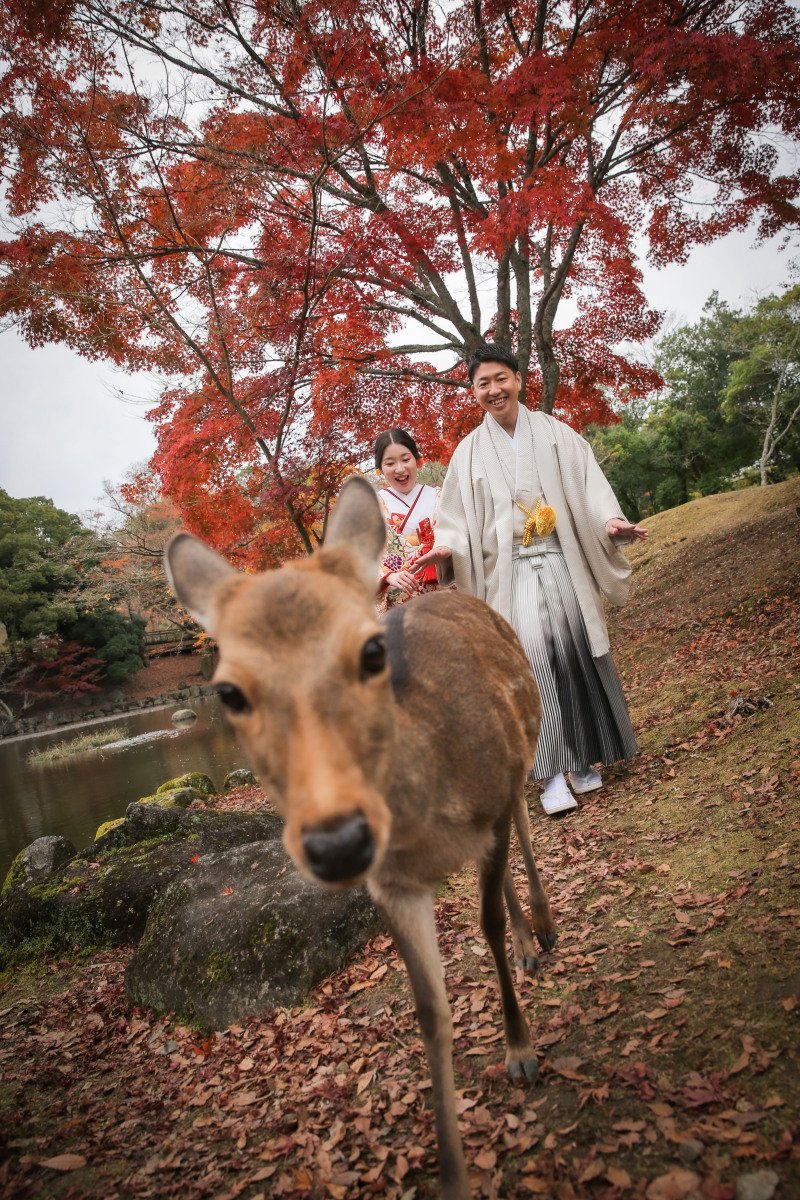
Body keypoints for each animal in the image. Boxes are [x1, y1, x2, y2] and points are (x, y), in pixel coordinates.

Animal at [164, 475, 557, 1200]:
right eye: (228, 691)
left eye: (372, 651)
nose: (339, 841)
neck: (428, 818)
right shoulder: (392, 883)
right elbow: (428, 1008)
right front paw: (452, 1176)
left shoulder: (487, 801)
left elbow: (486, 923)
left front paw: (521, 1052)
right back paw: (528, 941)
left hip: (519, 751)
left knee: (522, 821)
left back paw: (540, 929)